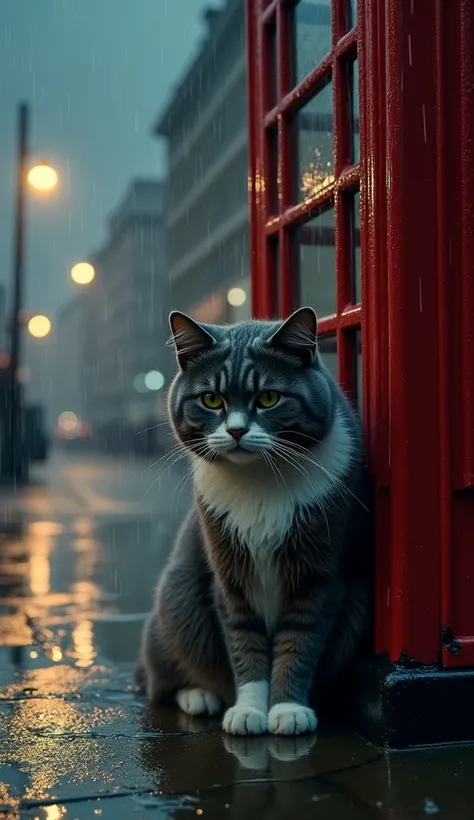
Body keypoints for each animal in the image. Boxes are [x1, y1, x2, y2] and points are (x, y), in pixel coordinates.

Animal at [138, 306, 374, 736]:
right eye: (211, 398)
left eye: (268, 397)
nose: (236, 430)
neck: (260, 479)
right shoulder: (230, 576)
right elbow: (243, 644)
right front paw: (248, 711)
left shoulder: (319, 576)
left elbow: (298, 643)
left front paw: (287, 710)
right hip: (175, 598)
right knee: (160, 679)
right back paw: (198, 695)